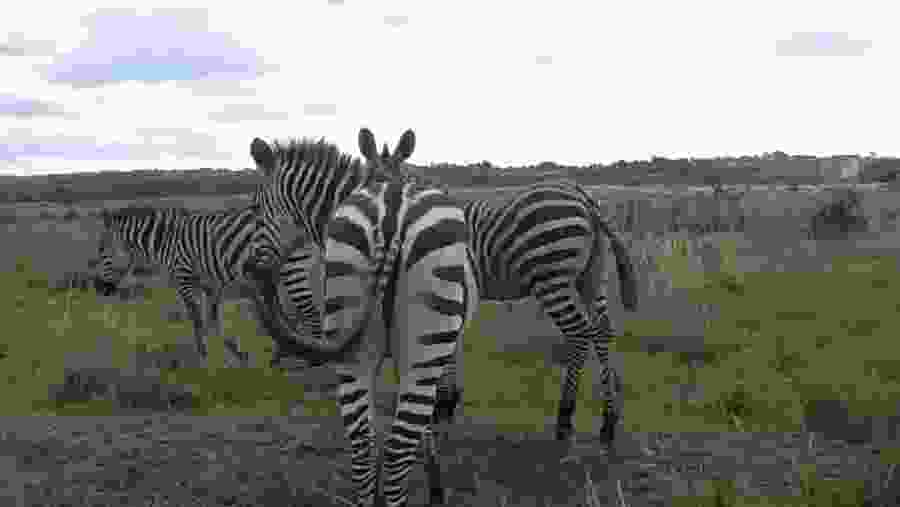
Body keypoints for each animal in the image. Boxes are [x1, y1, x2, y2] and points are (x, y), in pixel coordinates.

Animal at [92, 204, 296, 367]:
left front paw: (203, 357)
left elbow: (197, 319)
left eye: (102, 251)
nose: (98, 288)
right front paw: (235, 353)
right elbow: (211, 321)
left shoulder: (184, 279)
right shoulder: (210, 286)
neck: (166, 241)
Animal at [248, 127, 475, 507]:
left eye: (255, 210)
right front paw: (435, 487)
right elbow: (420, 423)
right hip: (424, 347)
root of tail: (391, 218)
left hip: (352, 341)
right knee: (397, 448)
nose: (252, 268)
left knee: (362, 445)